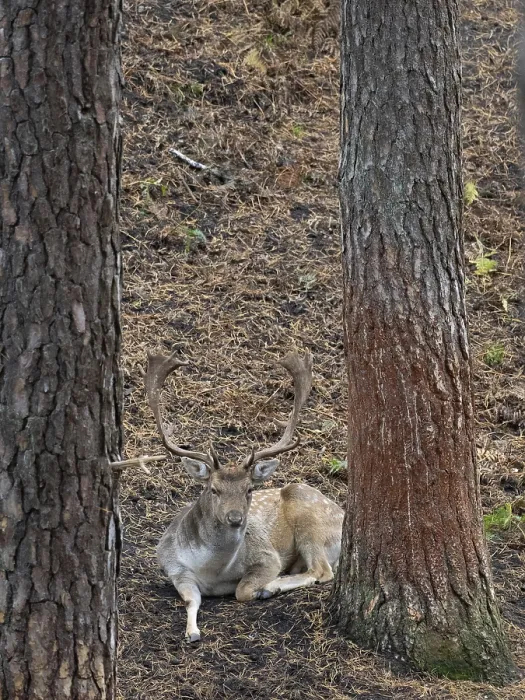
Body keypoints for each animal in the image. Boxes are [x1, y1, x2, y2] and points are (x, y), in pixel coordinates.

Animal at [147, 349, 344, 642]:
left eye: (249, 489)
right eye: (214, 489)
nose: (236, 518)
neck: (213, 570)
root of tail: (342, 514)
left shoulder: (267, 556)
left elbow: (243, 590)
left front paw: (266, 587)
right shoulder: (173, 567)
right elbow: (192, 600)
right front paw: (192, 632)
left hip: (309, 514)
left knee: (322, 570)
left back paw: (274, 586)